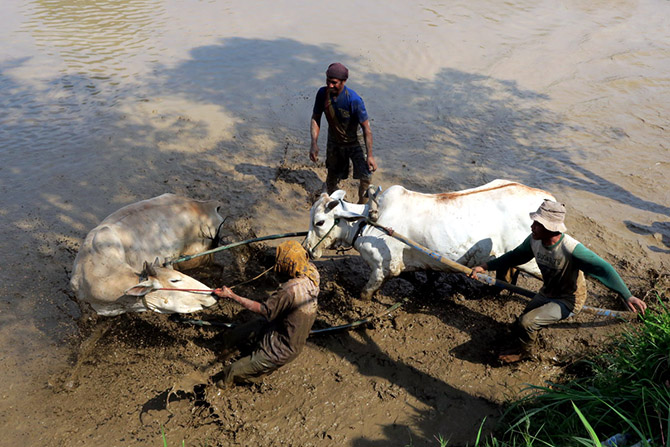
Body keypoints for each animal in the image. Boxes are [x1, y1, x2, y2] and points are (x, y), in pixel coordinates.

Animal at [306, 179, 556, 300]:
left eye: (319, 222)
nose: (307, 249)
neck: (367, 221)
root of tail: (548, 197)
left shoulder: (381, 267)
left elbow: (365, 293)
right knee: (506, 274)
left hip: (533, 260)